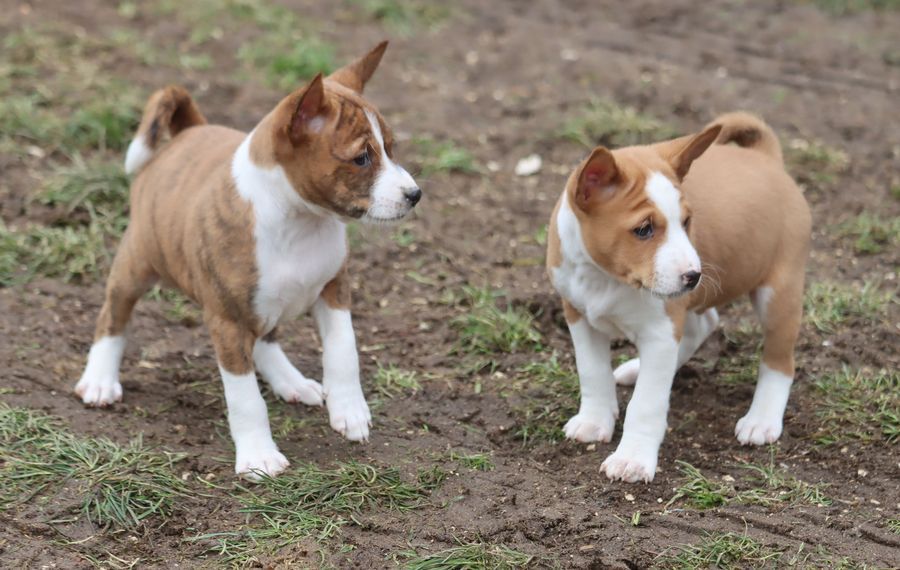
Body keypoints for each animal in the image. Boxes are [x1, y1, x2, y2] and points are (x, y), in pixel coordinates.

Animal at [74, 42, 422, 480]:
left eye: (391, 149)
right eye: (362, 158)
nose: (414, 194)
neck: (300, 222)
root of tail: (188, 131)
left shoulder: (334, 290)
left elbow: (345, 350)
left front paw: (350, 410)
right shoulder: (227, 319)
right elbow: (245, 397)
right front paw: (258, 455)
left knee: (266, 338)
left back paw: (291, 382)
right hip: (136, 265)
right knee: (113, 317)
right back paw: (100, 380)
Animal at [544, 113, 812, 482]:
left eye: (686, 222)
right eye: (643, 229)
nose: (694, 276)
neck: (605, 279)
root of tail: (766, 157)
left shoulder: (661, 329)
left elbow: (646, 403)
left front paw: (632, 458)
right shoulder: (579, 317)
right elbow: (592, 372)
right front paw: (594, 421)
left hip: (778, 294)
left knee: (780, 361)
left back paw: (761, 420)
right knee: (704, 324)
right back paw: (637, 368)